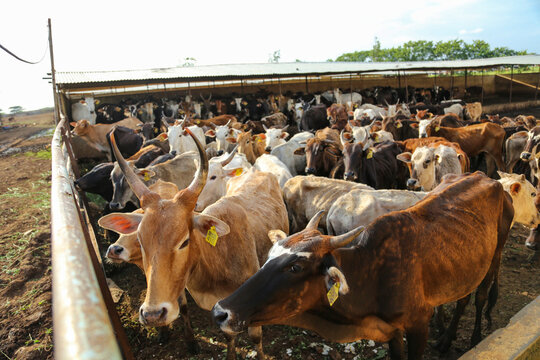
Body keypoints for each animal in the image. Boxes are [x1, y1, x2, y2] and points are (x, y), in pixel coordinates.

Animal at [99, 129, 288, 358]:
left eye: (184, 241)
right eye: (141, 240)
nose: (153, 314)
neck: (219, 258)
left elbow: (255, 337)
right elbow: (229, 336)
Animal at [211, 172, 516, 360]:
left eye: (296, 267)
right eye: (270, 255)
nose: (220, 311)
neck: (374, 273)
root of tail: (487, 178)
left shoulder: (419, 323)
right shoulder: (392, 330)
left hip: (496, 254)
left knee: (479, 297)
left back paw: (474, 337)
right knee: (463, 298)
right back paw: (447, 338)